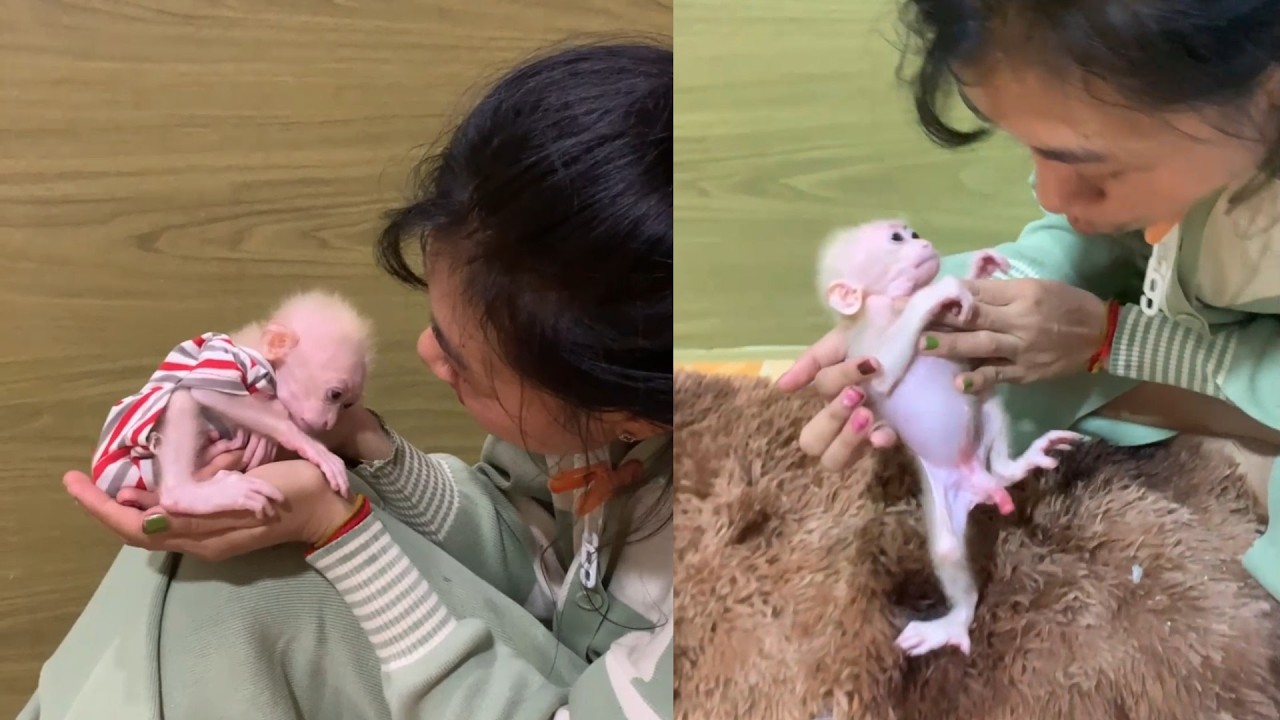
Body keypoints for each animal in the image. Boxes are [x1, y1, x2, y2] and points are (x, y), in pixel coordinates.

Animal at [90, 289, 373, 519]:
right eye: (335, 394)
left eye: (346, 405)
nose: (328, 423)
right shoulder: (237, 356)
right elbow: (209, 392)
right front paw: (309, 445)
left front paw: (264, 436)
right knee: (181, 396)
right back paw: (186, 494)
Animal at [807, 219, 1084, 656]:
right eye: (896, 238)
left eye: (911, 232)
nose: (922, 241)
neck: (892, 303)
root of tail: (977, 481)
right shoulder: (865, 342)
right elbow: (881, 373)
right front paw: (940, 292)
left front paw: (979, 269)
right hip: (944, 495)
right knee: (948, 550)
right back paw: (957, 618)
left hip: (984, 424)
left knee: (990, 407)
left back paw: (1013, 467)